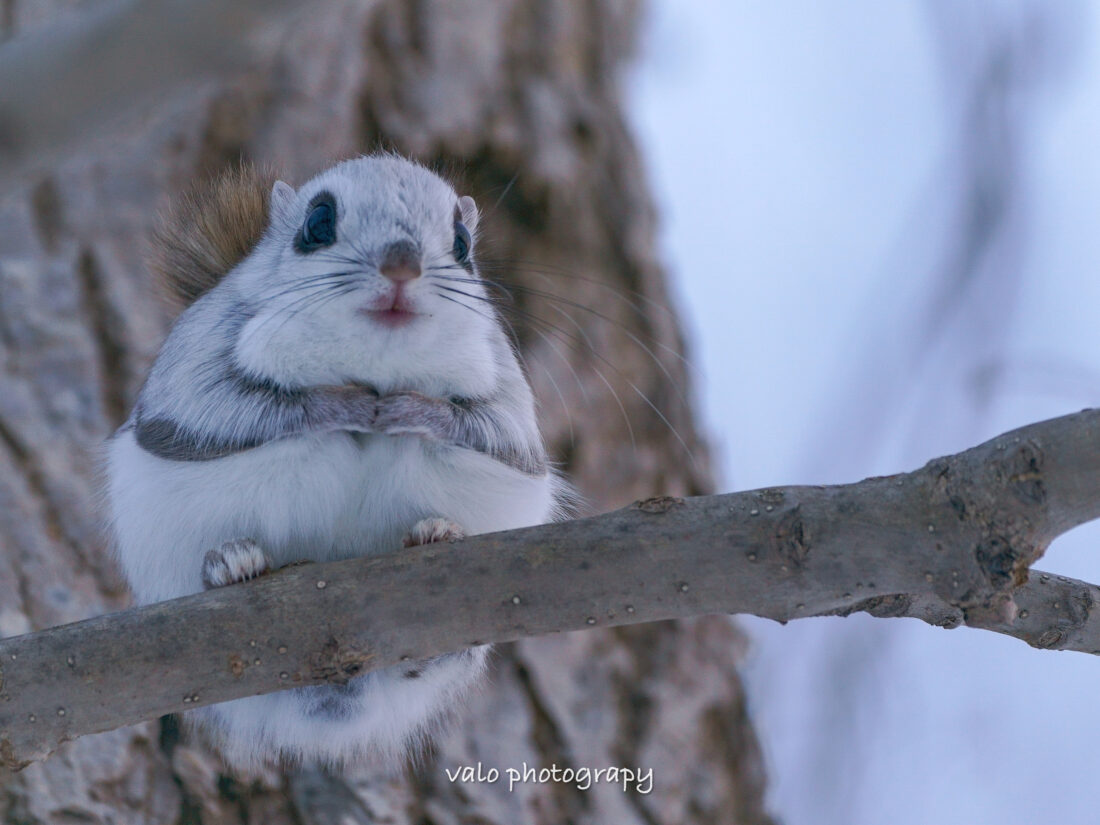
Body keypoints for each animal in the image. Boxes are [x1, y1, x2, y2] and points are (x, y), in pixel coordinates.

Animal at [105, 156, 567, 774]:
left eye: (463, 243)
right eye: (317, 223)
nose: (402, 266)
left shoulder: (507, 389)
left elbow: (500, 434)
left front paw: (409, 411)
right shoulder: (197, 365)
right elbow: (229, 410)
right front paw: (341, 406)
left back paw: (436, 542)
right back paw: (231, 564)